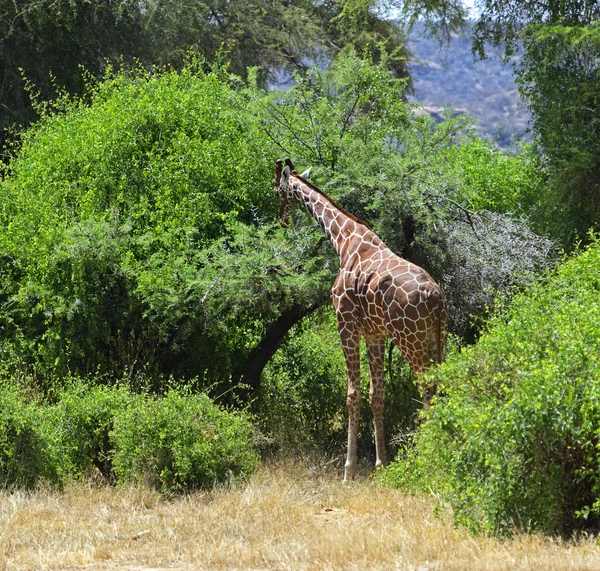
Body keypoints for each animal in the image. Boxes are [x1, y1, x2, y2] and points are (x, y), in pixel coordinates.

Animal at [274, 158, 448, 482]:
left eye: (277, 190)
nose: (282, 220)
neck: (344, 240)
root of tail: (436, 298)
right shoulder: (374, 333)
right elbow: (376, 394)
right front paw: (381, 464)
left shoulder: (345, 324)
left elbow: (352, 395)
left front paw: (349, 470)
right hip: (436, 338)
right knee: (440, 384)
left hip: (410, 340)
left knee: (427, 388)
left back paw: (431, 459)